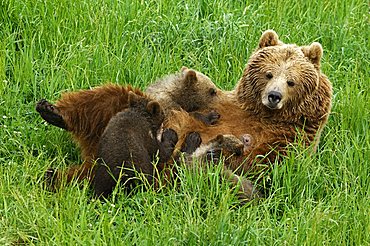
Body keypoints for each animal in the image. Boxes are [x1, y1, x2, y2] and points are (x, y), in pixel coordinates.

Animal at [37, 67, 221, 186]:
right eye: (212, 90)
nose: (218, 92)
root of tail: (94, 155)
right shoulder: (165, 106)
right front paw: (210, 116)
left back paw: (51, 175)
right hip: (108, 105)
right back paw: (50, 111)